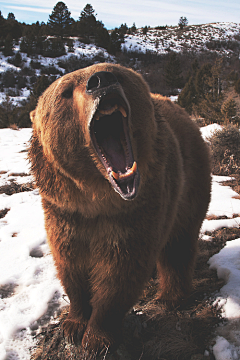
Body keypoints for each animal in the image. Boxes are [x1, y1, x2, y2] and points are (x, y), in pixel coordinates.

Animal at [29, 63, 211, 356]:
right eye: (65, 92)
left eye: (116, 72)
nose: (101, 81)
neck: (97, 199)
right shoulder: (64, 211)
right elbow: (70, 264)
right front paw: (73, 324)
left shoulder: (136, 211)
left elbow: (120, 271)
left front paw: (97, 337)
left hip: (190, 182)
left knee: (178, 244)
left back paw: (170, 297)